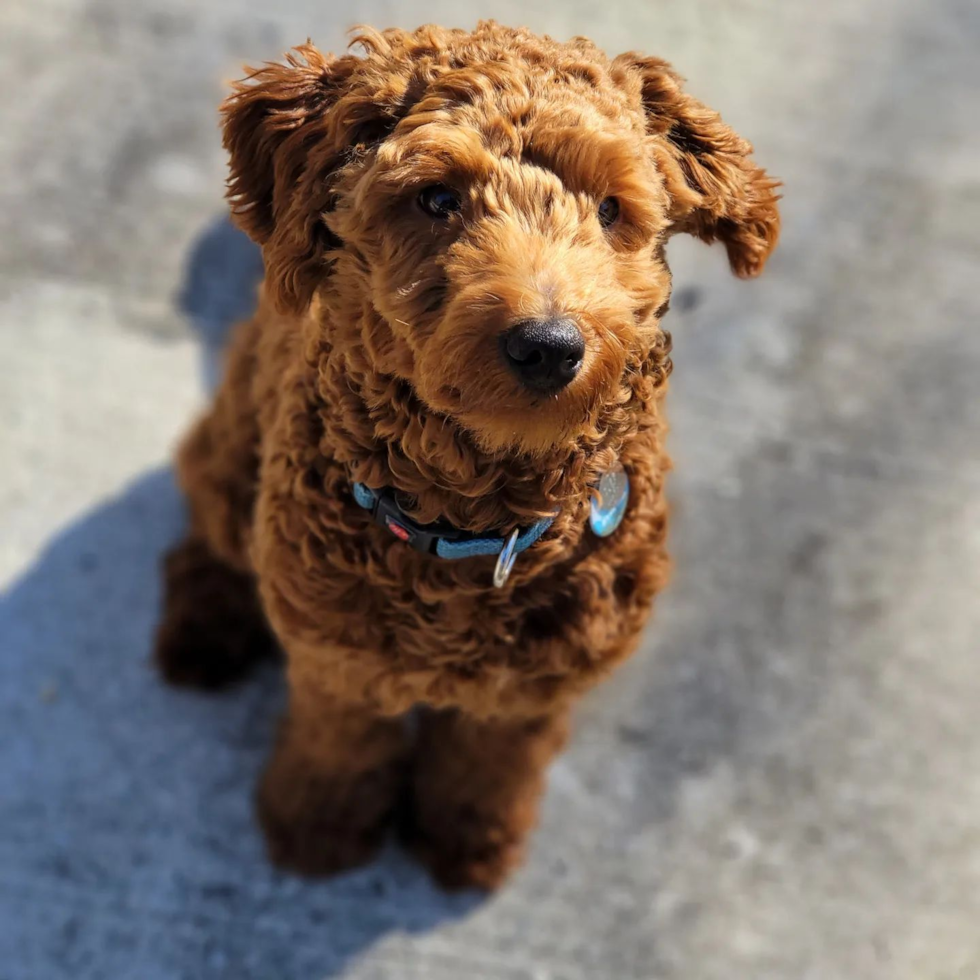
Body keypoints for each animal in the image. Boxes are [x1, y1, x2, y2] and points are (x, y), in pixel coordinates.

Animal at [155, 19, 780, 892]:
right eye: (437, 198)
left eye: (612, 208)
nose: (549, 346)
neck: (475, 525)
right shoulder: (338, 660)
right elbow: (340, 746)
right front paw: (317, 827)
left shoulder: (537, 687)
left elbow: (489, 764)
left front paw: (470, 841)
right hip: (229, 452)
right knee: (202, 543)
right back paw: (201, 631)